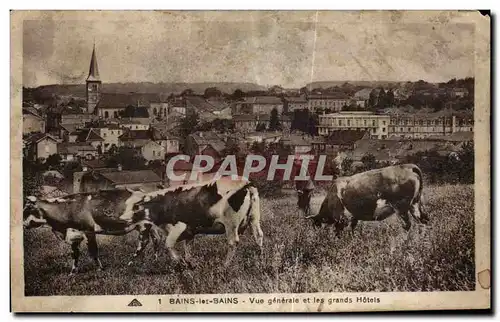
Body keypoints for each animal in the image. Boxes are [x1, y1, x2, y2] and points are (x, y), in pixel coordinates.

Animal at [21, 190, 153, 276]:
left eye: (28, 209)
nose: (21, 222)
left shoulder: (88, 230)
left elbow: (93, 250)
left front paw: (100, 269)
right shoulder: (74, 235)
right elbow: (75, 254)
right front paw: (73, 273)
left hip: (144, 226)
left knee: (144, 243)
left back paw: (130, 263)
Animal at [298, 165, 428, 233]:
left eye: (316, 224)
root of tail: (407, 166)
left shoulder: (340, 218)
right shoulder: (353, 218)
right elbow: (352, 230)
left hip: (401, 208)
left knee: (407, 225)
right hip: (415, 204)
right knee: (423, 221)